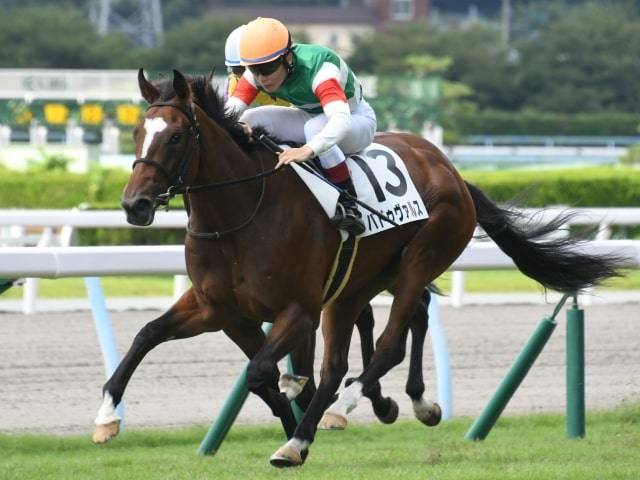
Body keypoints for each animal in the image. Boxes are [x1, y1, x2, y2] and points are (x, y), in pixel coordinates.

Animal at [95, 68, 622, 467]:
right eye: (137, 133)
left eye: (176, 135)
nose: (135, 205)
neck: (240, 214)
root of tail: (450, 168)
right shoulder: (216, 308)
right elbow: (149, 336)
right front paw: (105, 418)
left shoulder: (299, 309)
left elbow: (262, 370)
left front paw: (299, 426)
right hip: (363, 281)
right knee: (396, 324)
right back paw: (395, 403)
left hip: (422, 255)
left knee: (382, 345)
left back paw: (344, 409)